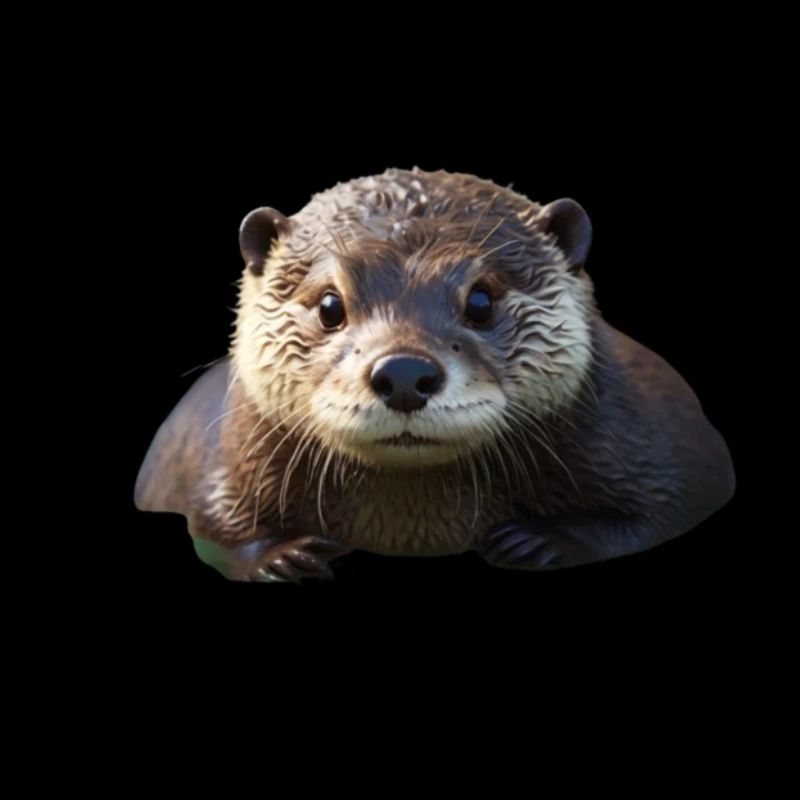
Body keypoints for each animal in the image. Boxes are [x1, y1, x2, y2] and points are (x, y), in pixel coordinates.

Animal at [134, 167, 735, 581]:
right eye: (329, 305)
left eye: (481, 301)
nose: (403, 372)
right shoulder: (221, 459)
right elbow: (211, 527)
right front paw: (281, 556)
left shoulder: (655, 440)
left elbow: (672, 507)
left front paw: (543, 541)